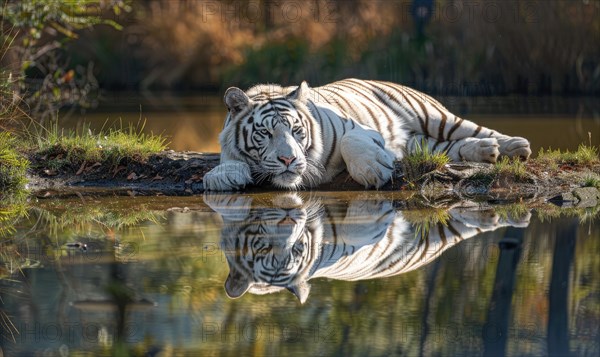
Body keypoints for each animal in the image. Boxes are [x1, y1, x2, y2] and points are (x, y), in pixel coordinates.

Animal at [204, 77, 532, 189]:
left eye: (297, 132)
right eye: (265, 133)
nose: (288, 160)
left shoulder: (356, 127)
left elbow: (352, 140)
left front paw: (373, 171)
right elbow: (228, 160)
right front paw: (223, 176)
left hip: (434, 116)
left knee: (477, 128)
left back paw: (516, 146)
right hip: (424, 144)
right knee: (449, 148)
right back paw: (486, 150)